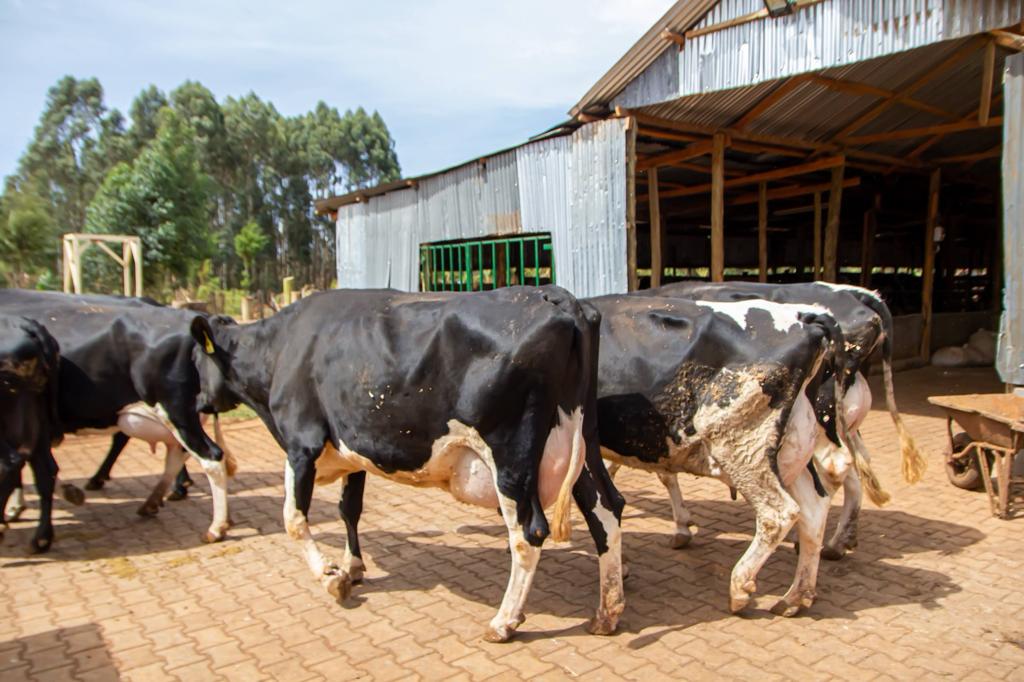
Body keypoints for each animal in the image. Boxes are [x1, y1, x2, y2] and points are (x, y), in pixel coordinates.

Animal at [187, 286, 625, 642]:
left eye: (195, 362)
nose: (198, 404)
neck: (281, 349)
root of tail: (557, 297)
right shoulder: (353, 445)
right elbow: (349, 509)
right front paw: (352, 567)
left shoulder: (301, 443)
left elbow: (293, 519)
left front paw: (330, 578)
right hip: (580, 441)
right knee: (607, 508)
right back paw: (607, 612)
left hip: (512, 457)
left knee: (529, 533)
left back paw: (503, 622)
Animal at [589, 294, 884, 616]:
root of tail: (805, 318)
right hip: (790, 447)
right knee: (815, 507)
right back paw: (796, 595)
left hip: (742, 445)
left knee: (779, 513)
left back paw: (741, 586)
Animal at [640, 281, 925, 559]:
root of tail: (858, 295)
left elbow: (664, 474)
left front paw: (681, 526)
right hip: (840, 424)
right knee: (855, 470)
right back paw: (838, 542)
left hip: (817, 424)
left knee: (833, 472)